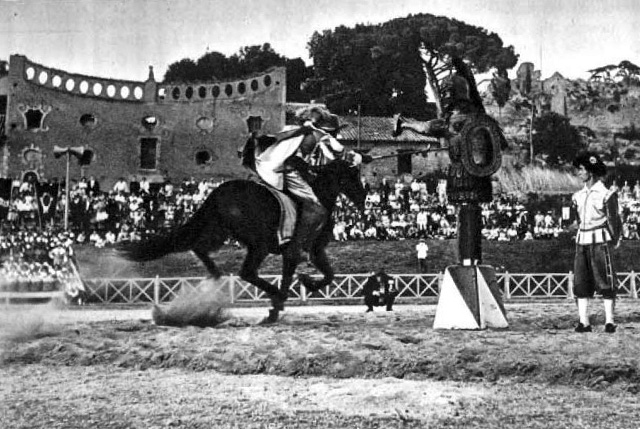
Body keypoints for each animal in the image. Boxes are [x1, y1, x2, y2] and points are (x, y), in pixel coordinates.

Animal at [119, 160, 364, 320]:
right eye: (354, 177)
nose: (362, 198)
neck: (317, 197)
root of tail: (218, 191)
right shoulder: (298, 251)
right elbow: (297, 277)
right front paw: (283, 300)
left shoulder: (313, 251)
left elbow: (327, 275)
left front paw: (304, 285)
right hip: (257, 244)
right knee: (247, 272)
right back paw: (271, 293)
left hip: (219, 231)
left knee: (199, 248)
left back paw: (215, 274)